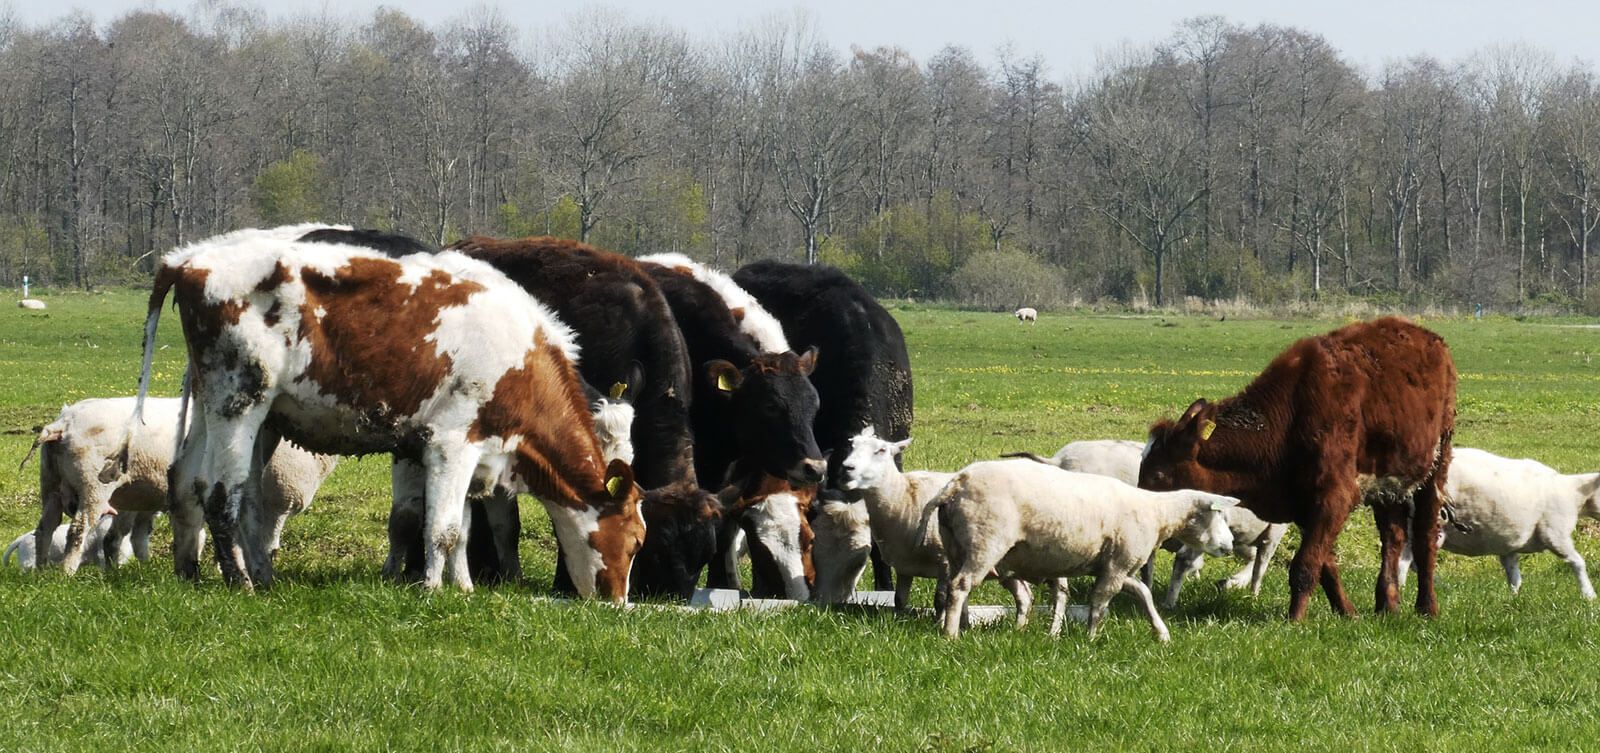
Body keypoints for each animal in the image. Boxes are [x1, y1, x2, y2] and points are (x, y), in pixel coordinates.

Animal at [135, 224, 646, 600]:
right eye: (636, 539)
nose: (617, 602)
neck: (520, 357)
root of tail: (189, 259)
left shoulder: (468, 453)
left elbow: (461, 528)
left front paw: (462, 587)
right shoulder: (450, 444)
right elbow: (440, 529)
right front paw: (433, 590)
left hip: (219, 407)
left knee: (196, 484)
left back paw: (204, 572)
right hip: (238, 401)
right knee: (223, 494)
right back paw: (240, 581)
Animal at [1138, 317, 1456, 621]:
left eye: (1159, 474)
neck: (1288, 418)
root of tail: (1431, 340)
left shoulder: (1334, 496)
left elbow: (1305, 564)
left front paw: (1295, 619)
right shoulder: (1303, 504)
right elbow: (1325, 565)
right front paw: (1347, 612)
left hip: (1437, 463)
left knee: (1425, 539)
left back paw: (1427, 607)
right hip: (1388, 483)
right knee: (1393, 536)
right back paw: (1387, 605)